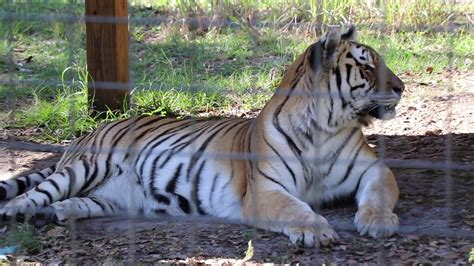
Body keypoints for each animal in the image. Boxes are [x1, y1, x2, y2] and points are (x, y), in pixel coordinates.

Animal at [0, 26, 404, 247]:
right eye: (367, 66)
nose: (401, 87)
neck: (325, 126)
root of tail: (89, 132)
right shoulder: (265, 190)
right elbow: (295, 209)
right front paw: (317, 231)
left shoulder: (374, 170)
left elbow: (378, 195)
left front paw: (377, 222)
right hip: (87, 167)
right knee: (31, 194)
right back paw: (18, 213)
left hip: (113, 198)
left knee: (75, 201)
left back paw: (57, 213)